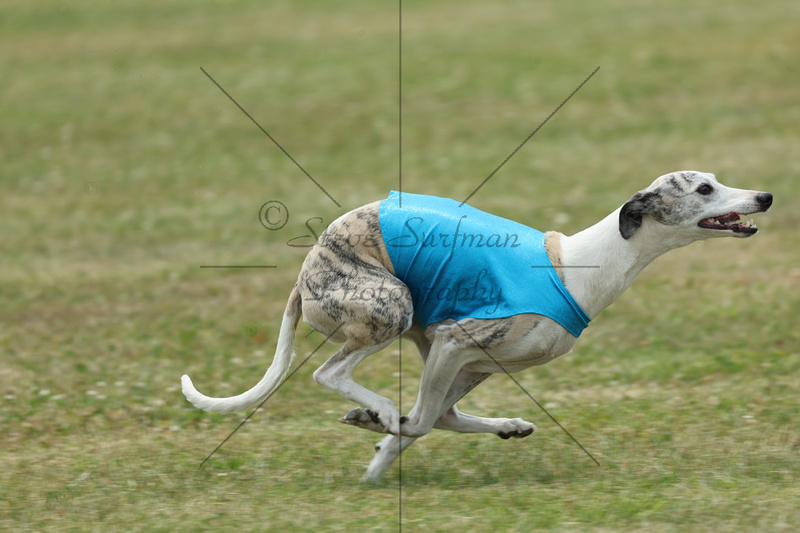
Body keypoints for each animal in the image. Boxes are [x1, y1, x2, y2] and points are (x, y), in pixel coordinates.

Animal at [180, 172, 768, 480]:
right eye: (705, 188)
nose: (764, 196)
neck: (580, 264)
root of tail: (306, 275)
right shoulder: (455, 340)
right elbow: (416, 423)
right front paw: (381, 435)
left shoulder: (470, 358)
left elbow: (428, 422)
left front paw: (376, 463)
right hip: (392, 306)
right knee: (334, 374)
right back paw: (379, 410)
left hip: (436, 344)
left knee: (442, 414)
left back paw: (495, 425)